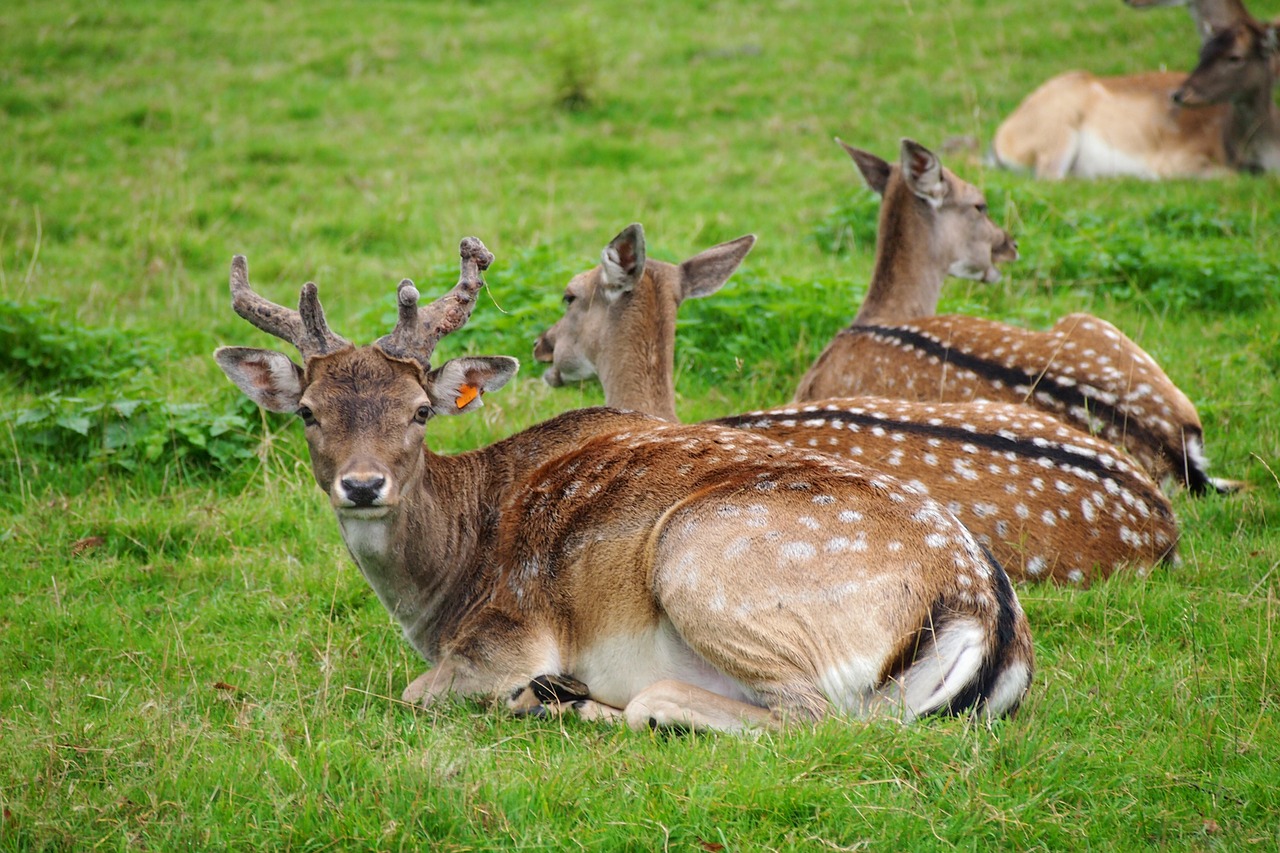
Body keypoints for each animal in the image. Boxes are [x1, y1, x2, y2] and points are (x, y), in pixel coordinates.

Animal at [212, 236, 1029, 732]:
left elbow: (419, 693)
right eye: (310, 412)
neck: (441, 591)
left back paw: (583, 700)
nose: (362, 485)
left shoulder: (509, 630)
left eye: (419, 410)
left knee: (806, 717)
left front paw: (543, 689)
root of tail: (983, 612)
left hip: (704, 564)